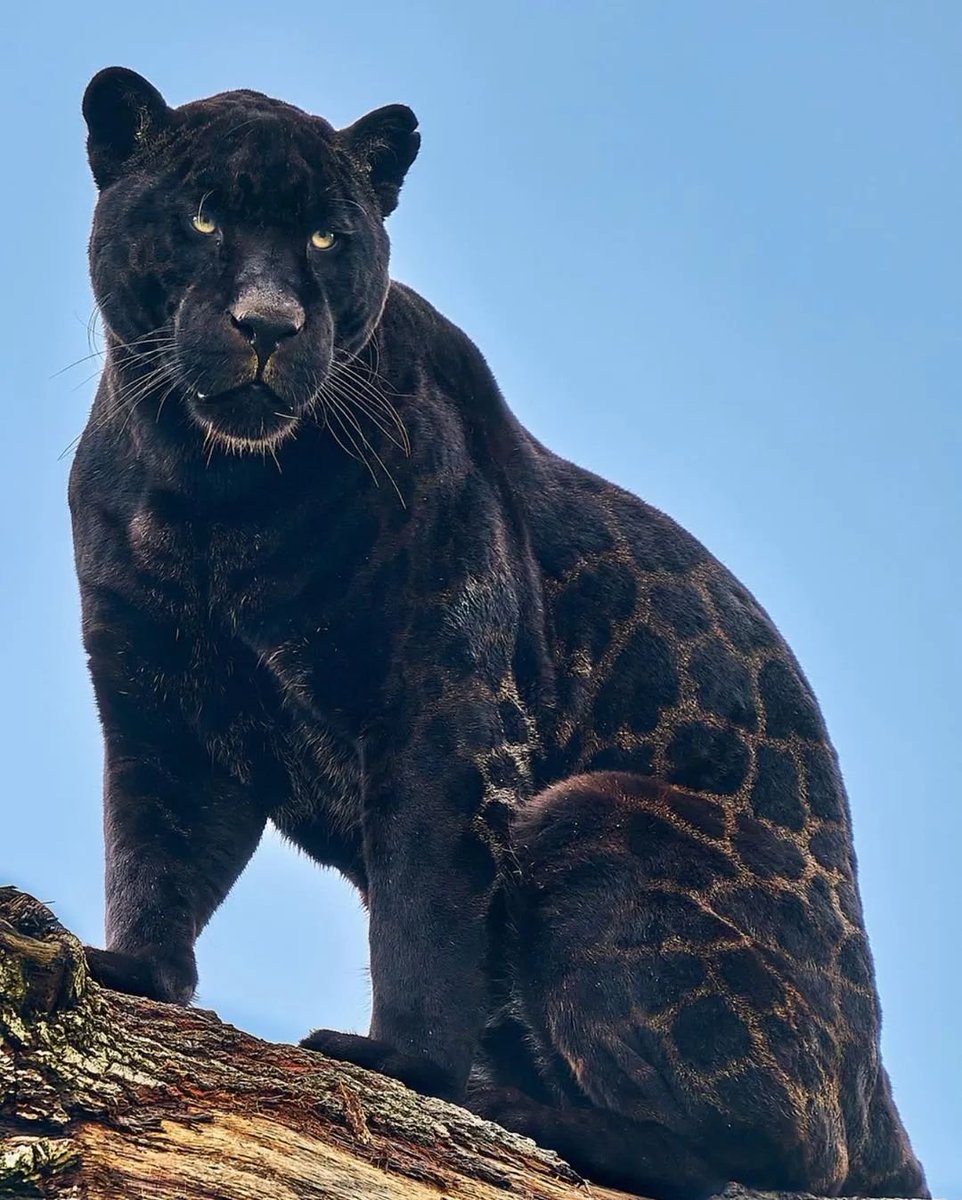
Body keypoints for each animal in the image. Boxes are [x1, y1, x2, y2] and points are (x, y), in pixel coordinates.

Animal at [71, 68, 926, 1200]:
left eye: (326, 237)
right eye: (204, 215)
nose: (269, 323)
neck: (208, 493)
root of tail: (877, 1095)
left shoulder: (442, 703)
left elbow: (424, 905)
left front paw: (402, 1064)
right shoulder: (156, 696)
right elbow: (154, 848)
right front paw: (134, 973)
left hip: (587, 816)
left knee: (769, 1150)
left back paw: (515, 1108)